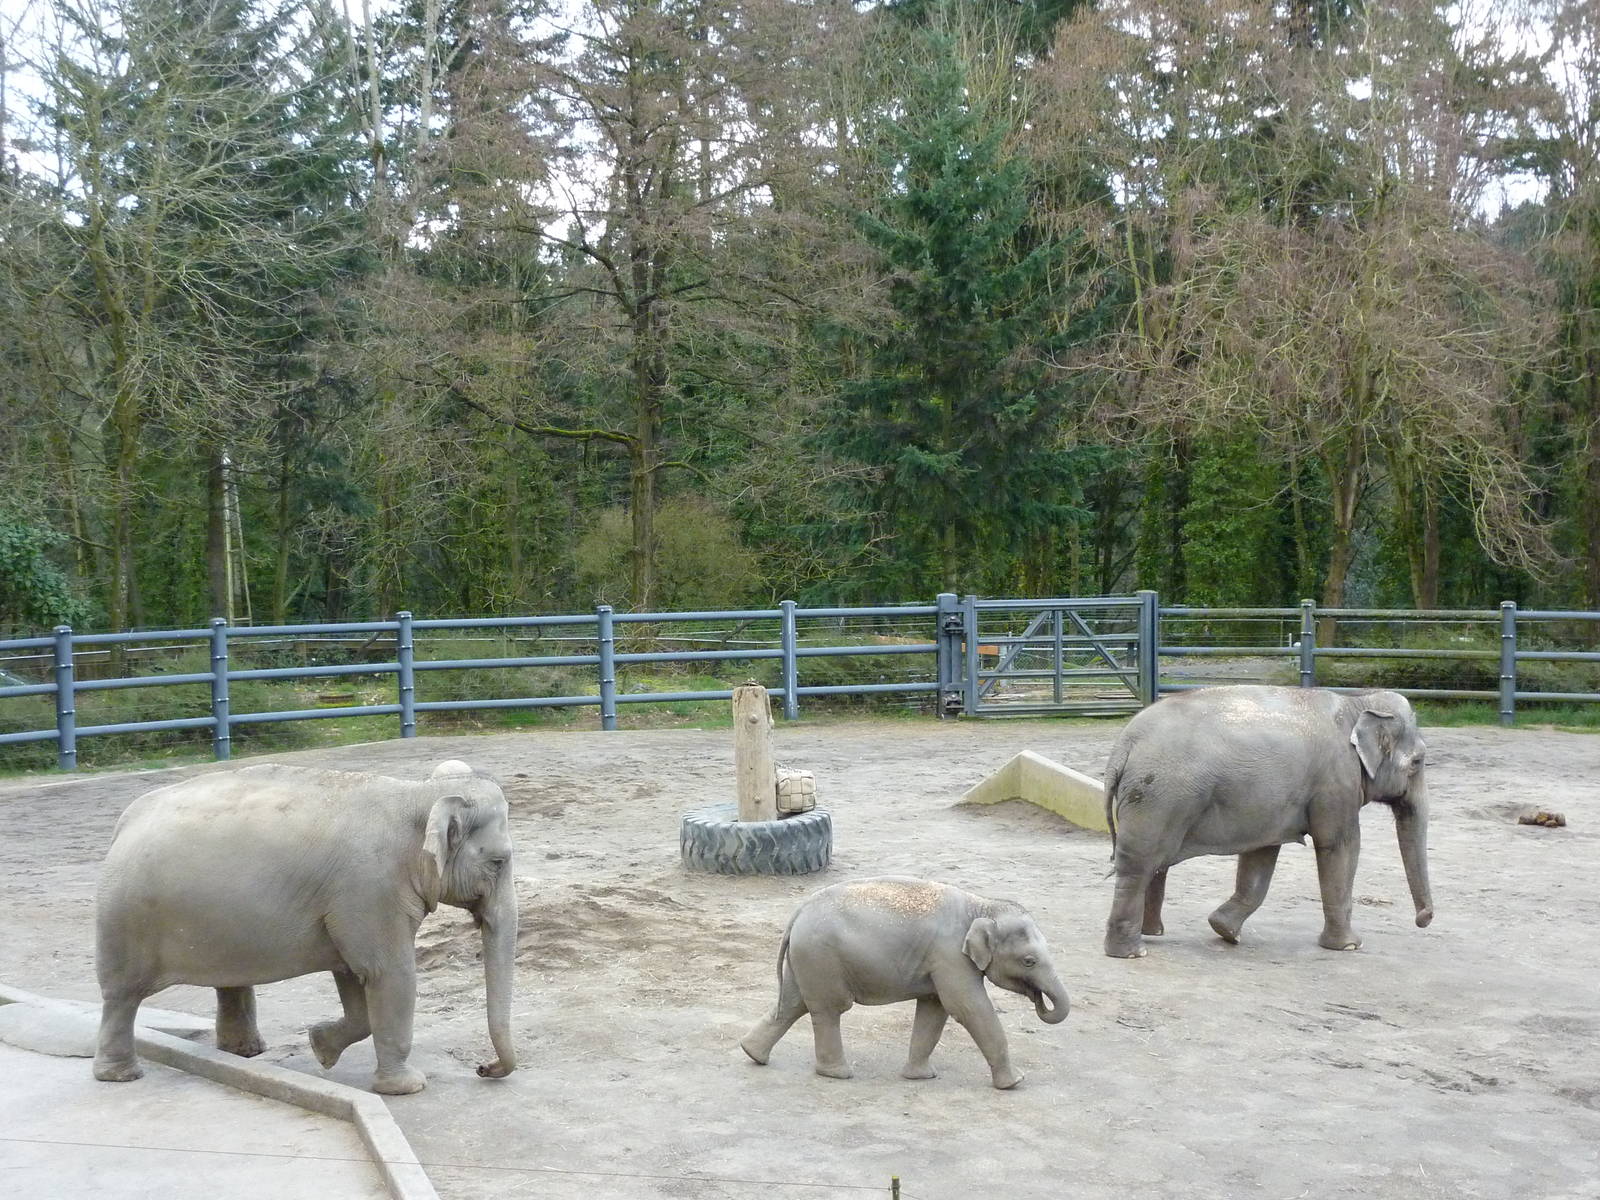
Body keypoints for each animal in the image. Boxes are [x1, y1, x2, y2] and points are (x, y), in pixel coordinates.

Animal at [93, 759, 517, 1094]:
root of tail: (123, 824)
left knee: (229, 980)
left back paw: (246, 1052)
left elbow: (354, 977)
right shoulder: (370, 889)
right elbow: (389, 973)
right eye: (498, 862)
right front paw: (407, 1087)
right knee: (122, 996)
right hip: (126, 920)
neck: (418, 794)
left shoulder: (351, 902)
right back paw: (120, 1076)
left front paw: (320, 1047)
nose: (482, 1068)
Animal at [740, 877, 1070, 1089]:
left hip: (807, 958)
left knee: (792, 1004)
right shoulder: (950, 956)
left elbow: (934, 1010)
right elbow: (967, 1008)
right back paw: (837, 1075)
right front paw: (1015, 1083)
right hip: (821, 957)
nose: (1038, 999)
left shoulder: (939, 962)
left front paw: (921, 1077)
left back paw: (752, 1053)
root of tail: (797, 913)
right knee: (829, 1009)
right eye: (1029, 961)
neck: (982, 906)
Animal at [1101, 685, 1434, 959]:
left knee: (1154, 864)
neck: (1358, 703)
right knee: (1140, 865)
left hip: (1158, 798)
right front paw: (1350, 946)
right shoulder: (1337, 782)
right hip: (1159, 796)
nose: (1423, 920)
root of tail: (1123, 746)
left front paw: (1225, 931)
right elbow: (1339, 846)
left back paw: (1151, 934)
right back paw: (1132, 952)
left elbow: (1261, 855)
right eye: (1417, 762)